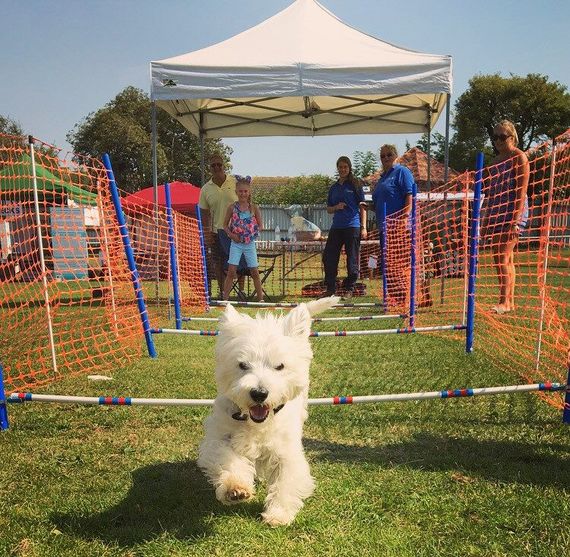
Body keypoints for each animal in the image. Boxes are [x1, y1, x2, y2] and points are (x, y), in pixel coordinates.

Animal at [196, 296, 338, 524]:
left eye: (279, 366)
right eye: (242, 365)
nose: (259, 393)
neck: (255, 422)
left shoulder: (286, 450)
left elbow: (286, 479)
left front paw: (278, 514)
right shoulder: (219, 438)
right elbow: (227, 459)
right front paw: (235, 489)